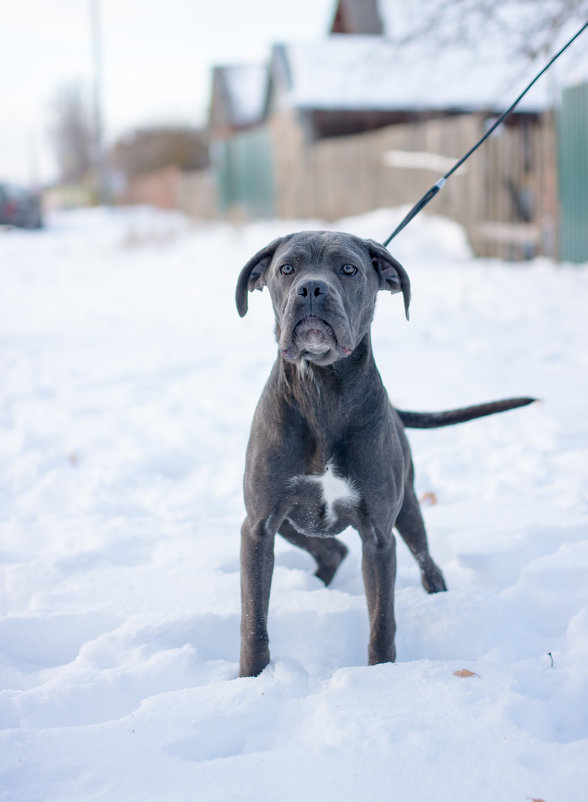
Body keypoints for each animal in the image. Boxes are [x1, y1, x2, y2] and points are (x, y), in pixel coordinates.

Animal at [234, 231, 532, 676]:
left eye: (348, 269)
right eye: (286, 268)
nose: (311, 288)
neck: (322, 391)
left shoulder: (378, 536)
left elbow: (382, 620)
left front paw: (381, 676)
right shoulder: (258, 526)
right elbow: (254, 619)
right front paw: (251, 678)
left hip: (407, 507)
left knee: (424, 558)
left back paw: (439, 593)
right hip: (286, 522)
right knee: (332, 549)